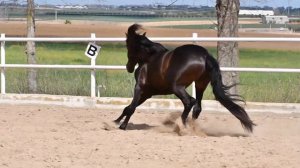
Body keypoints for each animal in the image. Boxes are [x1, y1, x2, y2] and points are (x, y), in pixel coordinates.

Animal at [113, 23, 254, 131]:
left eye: (127, 44)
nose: (129, 67)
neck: (149, 58)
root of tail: (205, 55)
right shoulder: (148, 93)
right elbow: (128, 107)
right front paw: (115, 121)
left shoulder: (140, 88)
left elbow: (131, 107)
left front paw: (122, 125)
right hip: (200, 85)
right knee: (197, 107)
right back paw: (191, 126)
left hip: (177, 87)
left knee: (189, 101)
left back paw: (183, 126)